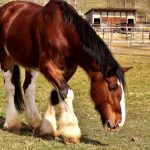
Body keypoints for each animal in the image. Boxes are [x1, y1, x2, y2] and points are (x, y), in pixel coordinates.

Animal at [0, 0, 131, 143]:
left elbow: (56, 94)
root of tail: (7, 9)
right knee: (11, 88)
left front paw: (47, 128)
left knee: (28, 88)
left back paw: (35, 121)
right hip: (6, 59)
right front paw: (71, 131)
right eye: (112, 87)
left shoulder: (68, 70)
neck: (63, 32)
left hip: (31, 64)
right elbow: (67, 93)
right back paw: (11, 123)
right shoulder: (47, 67)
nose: (119, 122)